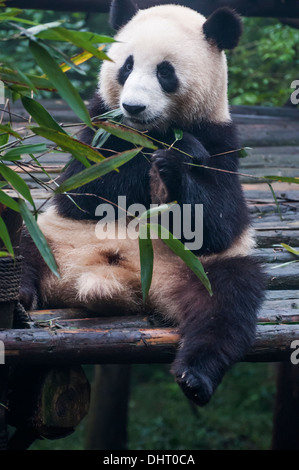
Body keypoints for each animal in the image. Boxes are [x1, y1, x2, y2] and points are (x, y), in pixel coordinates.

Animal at [19, 0, 268, 406]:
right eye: (126, 66)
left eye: (165, 72)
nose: (133, 107)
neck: (152, 132)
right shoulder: (97, 128)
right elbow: (86, 189)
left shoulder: (222, 142)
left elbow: (220, 221)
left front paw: (178, 160)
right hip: (51, 240)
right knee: (21, 244)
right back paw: (20, 295)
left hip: (195, 269)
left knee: (226, 303)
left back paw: (195, 376)